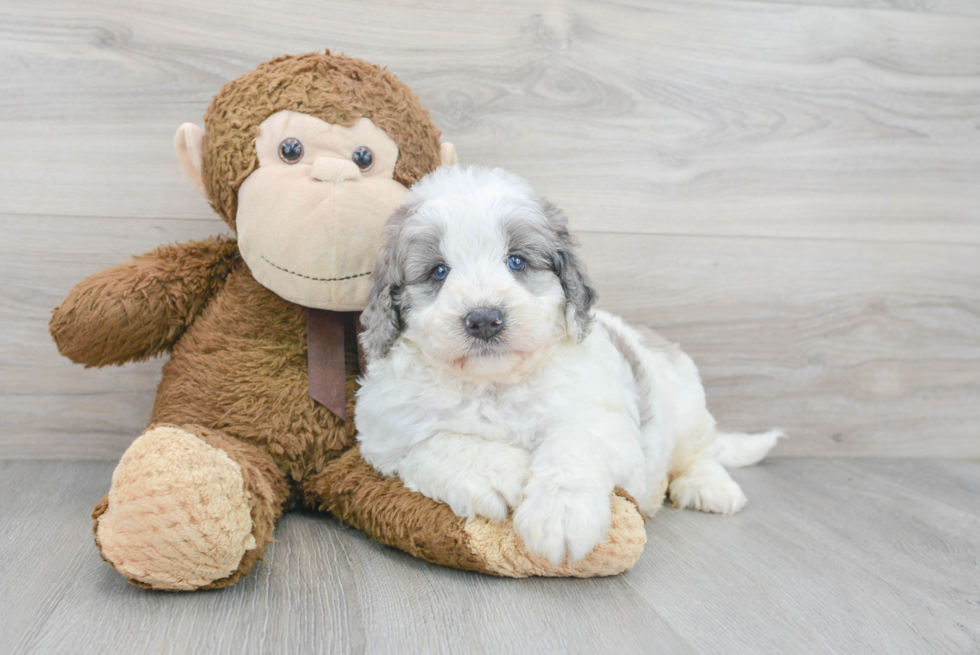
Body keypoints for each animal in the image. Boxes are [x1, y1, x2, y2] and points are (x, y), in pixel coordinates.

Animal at [356, 167, 784, 568]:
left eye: (517, 261)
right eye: (438, 272)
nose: (483, 319)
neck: (494, 384)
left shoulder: (611, 432)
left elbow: (573, 441)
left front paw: (560, 514)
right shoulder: (383, 440)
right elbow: (432, 442)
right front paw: (499, 473)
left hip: (688, 405)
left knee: (700, 452)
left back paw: (709, 486)